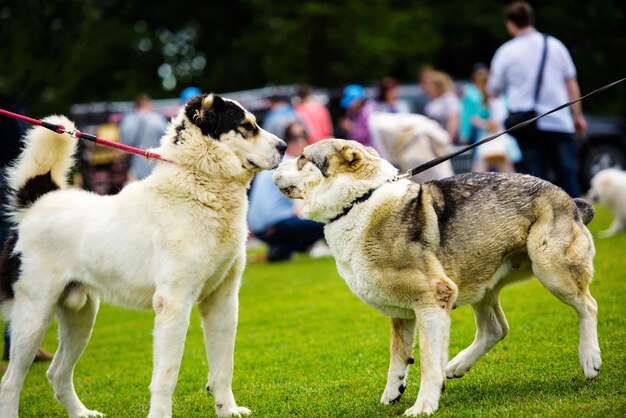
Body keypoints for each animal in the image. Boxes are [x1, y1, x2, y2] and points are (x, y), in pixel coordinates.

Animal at [0, 94, 286, 418]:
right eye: (245, 126)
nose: (284, 146)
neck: (199, 181)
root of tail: (37, 204)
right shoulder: (174, 303)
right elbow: (167, 375)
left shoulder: (222, 301)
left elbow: (223, 366)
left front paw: (228, 410)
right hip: (33, 316)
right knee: (10, 382)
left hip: (81, 316)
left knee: (57, 373)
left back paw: (83, 413)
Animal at [272, 140, 600, 414]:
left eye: (303, 158)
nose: (275, 164)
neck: (360, 201)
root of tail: (570, 201)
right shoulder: (403, 313)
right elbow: (398, 356)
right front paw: (394, 391)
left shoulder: (433, 299)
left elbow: (428, 361)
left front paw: (423, 406)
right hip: (480, 281)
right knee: (495, 329)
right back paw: (457, 365)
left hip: (550, 268)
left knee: (588, 305)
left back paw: (590, 358)